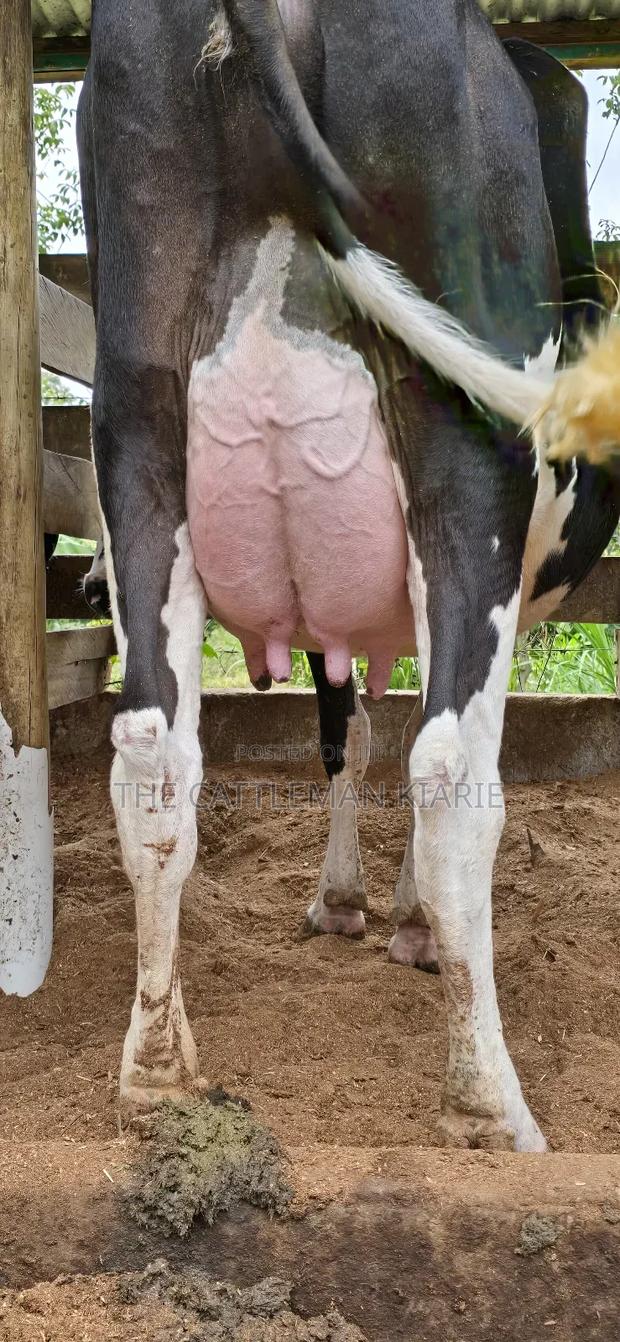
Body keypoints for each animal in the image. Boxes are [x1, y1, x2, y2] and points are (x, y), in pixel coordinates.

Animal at [77, 0, 619, 1151]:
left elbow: (347, 731)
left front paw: (347, 903)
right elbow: (395, 733)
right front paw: (399, 919)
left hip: (137, 420)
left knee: (152, 757)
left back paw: (155, 1071)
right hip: (467, 448)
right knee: (452, 767)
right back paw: (491, 1105)